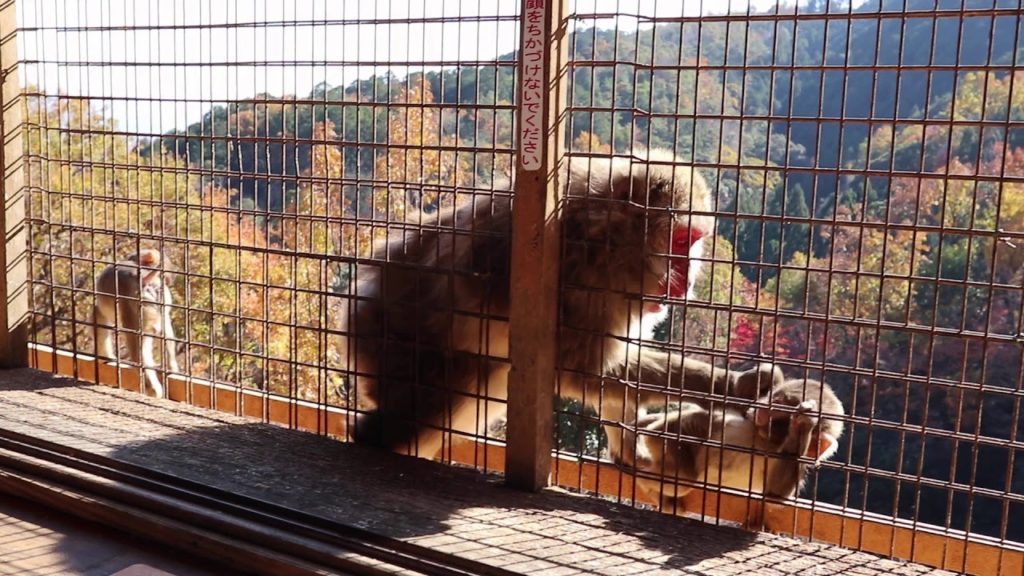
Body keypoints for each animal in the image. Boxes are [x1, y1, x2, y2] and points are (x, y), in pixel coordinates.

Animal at [341, 148, 780, 459]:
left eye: (695, 243)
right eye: (681, 242)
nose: (687, 280)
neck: (607, 243)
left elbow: (608, 375)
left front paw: (629, 447)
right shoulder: (583, 285)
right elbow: (585, 373)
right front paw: (731, 387)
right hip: (391, 342)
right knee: (457, 388)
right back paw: (374, 436)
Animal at [623, 379, 844, 514]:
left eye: (780, 411)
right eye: (774, 399)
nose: (763, 408)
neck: (765, 442)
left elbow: (774, 498)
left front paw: (803, 425)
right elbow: (707, 419)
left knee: (683, 479)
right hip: (660, 441)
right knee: (681, 470)